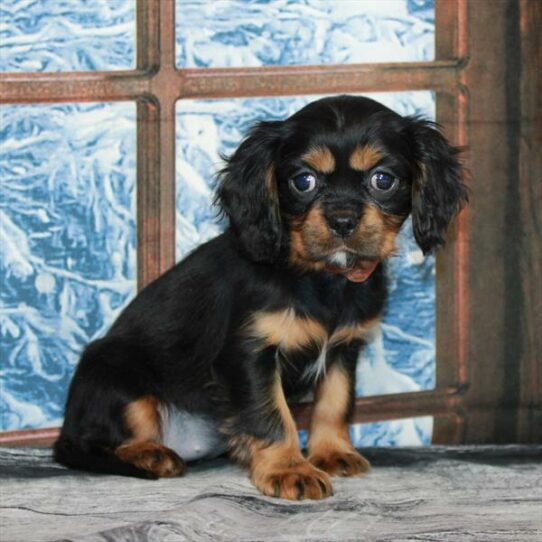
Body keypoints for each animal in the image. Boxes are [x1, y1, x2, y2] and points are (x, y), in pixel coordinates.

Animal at [57, 95, 470, 504]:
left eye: (383, 179)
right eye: (303, 181)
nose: (342, 220)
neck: (321, 278)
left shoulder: (343, 349)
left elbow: (334, 402)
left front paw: (333, 452)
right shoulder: (250, 353)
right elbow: (271, 414)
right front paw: (290, 469)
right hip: (116, 371)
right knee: (101, 439)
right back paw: (149, 453)